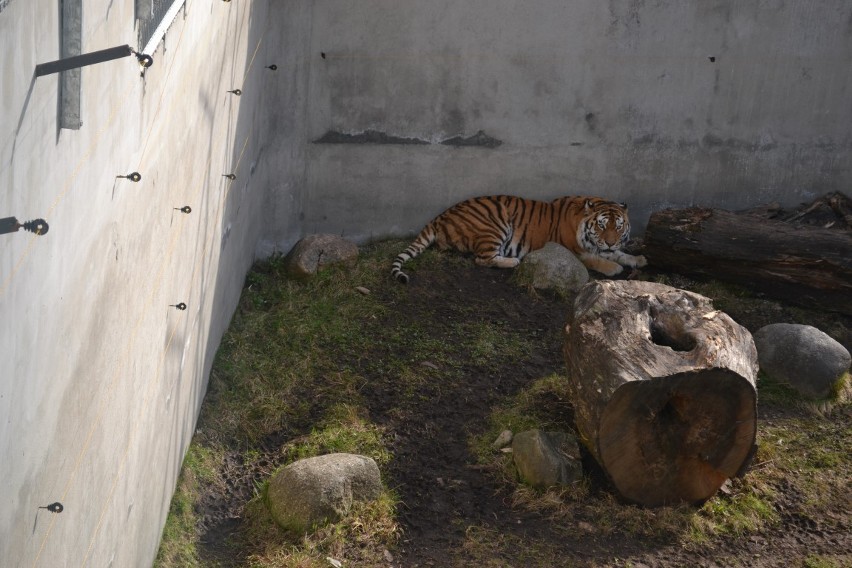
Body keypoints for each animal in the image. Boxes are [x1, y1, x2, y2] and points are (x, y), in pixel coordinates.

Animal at [392, 195, 644, 284]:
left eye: (618, 227)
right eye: (601, 225)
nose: (610, 241)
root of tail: (440, 217)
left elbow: (620, 254)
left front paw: (638, 259)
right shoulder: (573, 249)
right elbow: (596, 259)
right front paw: (613, 268)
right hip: (496, 223)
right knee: (482, 259)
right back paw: (513, 261)